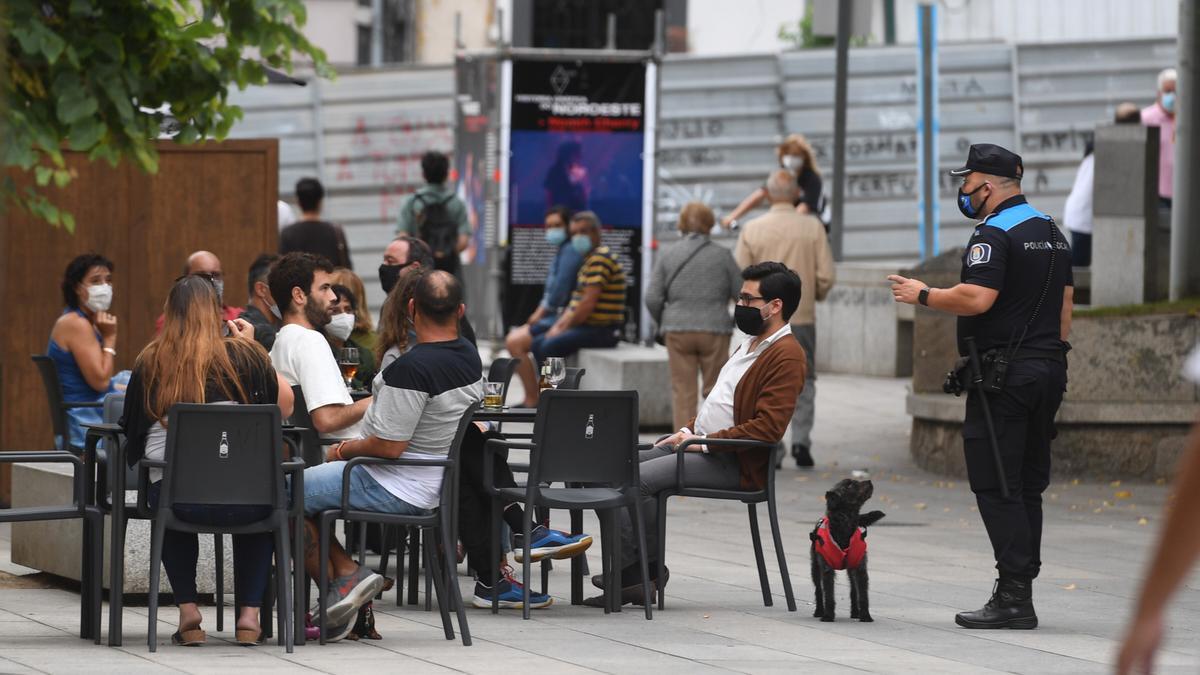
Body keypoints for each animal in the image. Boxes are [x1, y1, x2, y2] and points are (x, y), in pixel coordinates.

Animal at [811, 478, 888, 619]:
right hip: (815, 568)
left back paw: (855, 612)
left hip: (851, 570)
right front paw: (828, 616)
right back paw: (819, 611)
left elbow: (863, 595)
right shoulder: (826, 570)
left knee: (853, 590)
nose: (869, 480)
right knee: (818, 590)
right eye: (850, 485)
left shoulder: (861, 569)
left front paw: (866, 616)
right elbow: (828, 594)